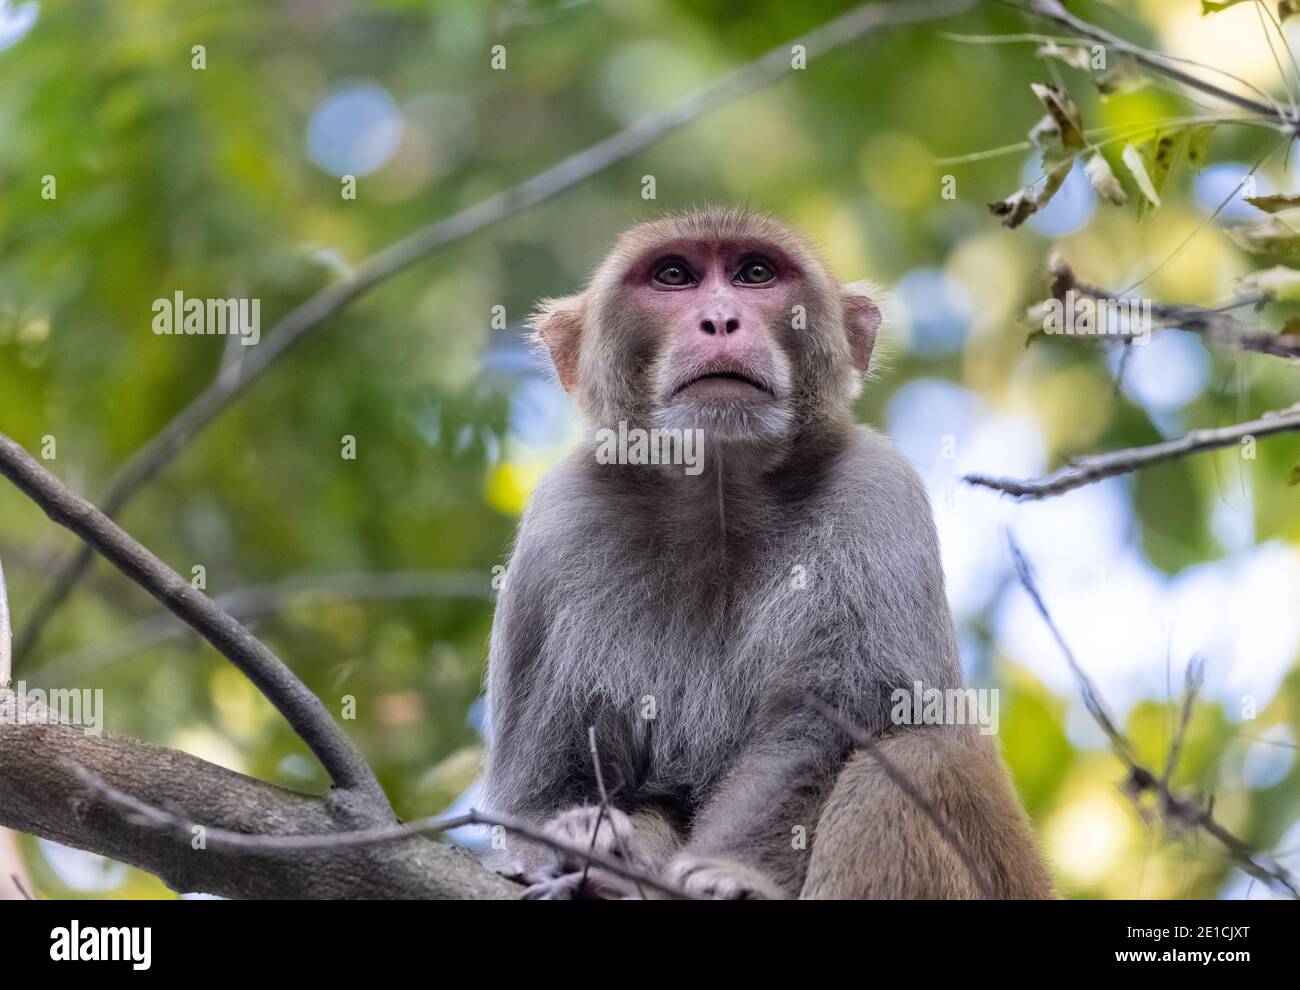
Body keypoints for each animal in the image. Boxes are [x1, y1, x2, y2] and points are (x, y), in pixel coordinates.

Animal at [480, 206, 1051, 899]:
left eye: (755, 274)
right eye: (674, 276)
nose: (721, 319)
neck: (720, 498)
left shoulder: (875, 489)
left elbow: (826, 726)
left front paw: (727, 873)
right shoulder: (560, 525)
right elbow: (547, 789)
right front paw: (584, 847)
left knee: (917, 754)